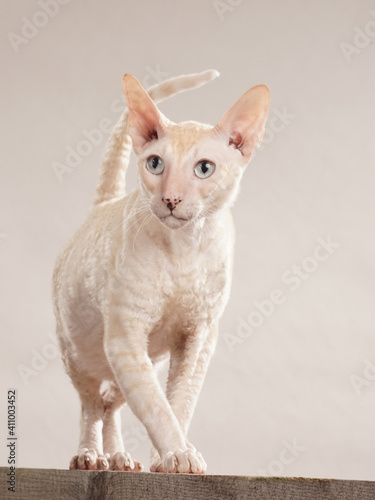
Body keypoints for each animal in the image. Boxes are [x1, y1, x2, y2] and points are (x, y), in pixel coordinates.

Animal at [53, 69, 270, 472]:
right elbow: (155, 406)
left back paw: (120, 457)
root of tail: (105, 203)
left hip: (147, 357)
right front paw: (177, 453)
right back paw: (91, 455)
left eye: (204, 168)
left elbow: (179, 401)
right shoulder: (126, 333)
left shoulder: (199, 335)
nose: (171, 199)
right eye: (155, 164)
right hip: (79, 351)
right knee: (92, 403)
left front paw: (168, 458)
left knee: (112, 403)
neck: (184, 249)